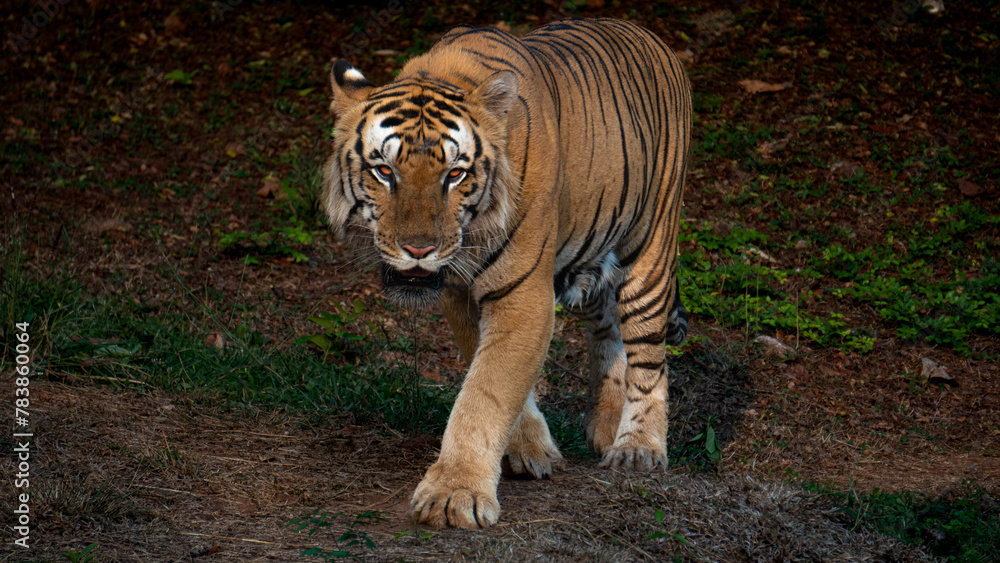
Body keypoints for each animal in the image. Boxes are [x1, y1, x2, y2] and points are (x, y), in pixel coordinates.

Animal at [322, 18, 691, 529]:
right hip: (593, 256)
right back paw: (605, 422)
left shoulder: (522, 294)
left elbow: (486, 391)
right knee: (607, 327)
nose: (420, 249)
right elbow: (494, 375)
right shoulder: (459, 292)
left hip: (651, 247)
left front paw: (453, 494)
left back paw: (637, 448)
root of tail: (650, 35)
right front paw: (530, 450)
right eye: (384, 171)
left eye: (455, 175)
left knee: (649, 357)